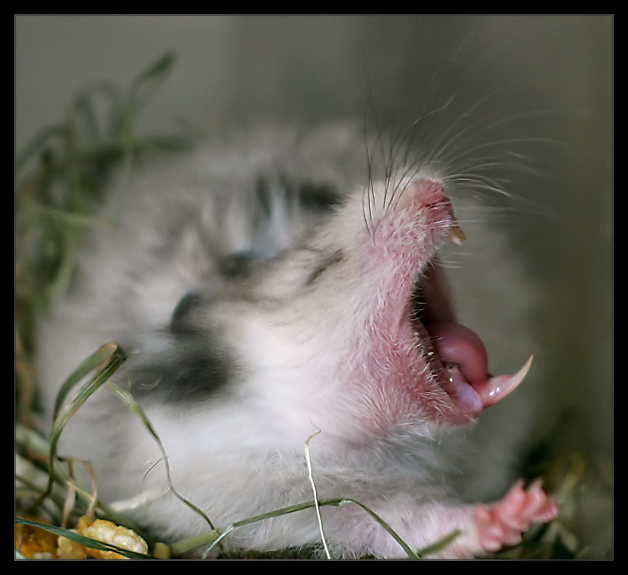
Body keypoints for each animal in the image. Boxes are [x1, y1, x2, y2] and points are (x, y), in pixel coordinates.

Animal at [35, 121, 556, 560]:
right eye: (318, 271)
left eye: (328, 202)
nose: (430, 189)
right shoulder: (268, 501)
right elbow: (398, 520)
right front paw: (516, 513)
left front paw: (536, 504)